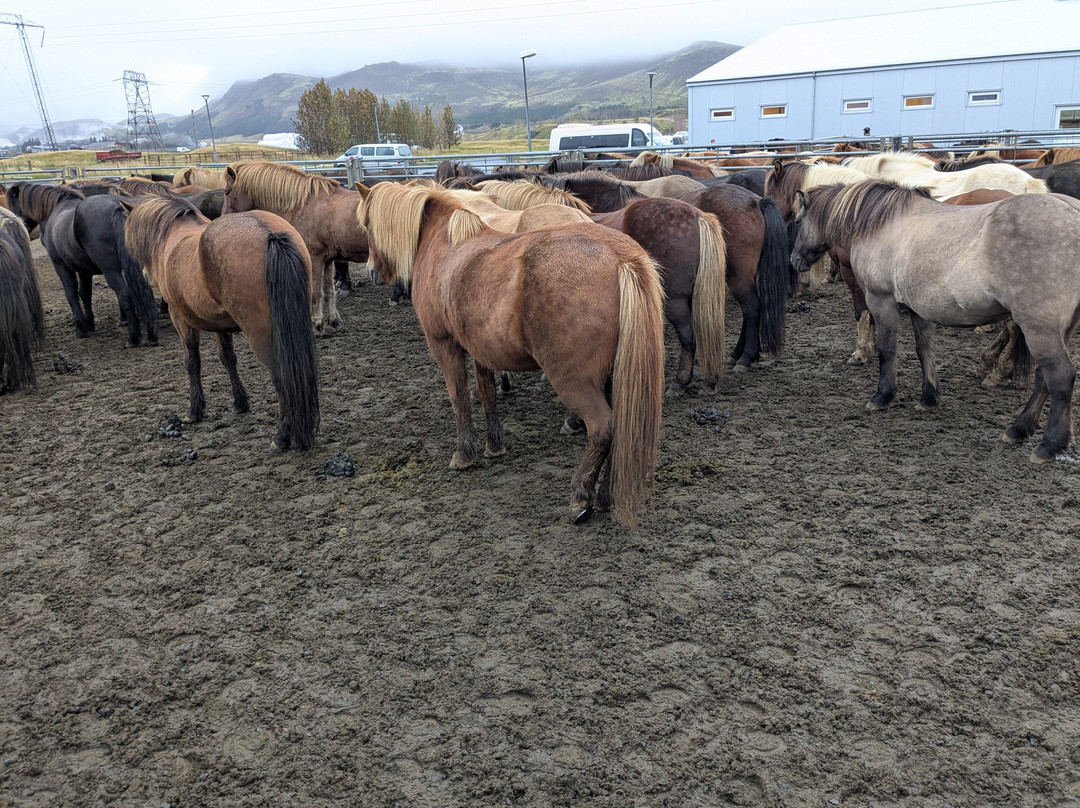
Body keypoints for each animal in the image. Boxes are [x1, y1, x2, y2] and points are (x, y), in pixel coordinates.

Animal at [5, 182, 158, 346]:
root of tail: (119, 206)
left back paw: (133, 337)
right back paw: (151, 334)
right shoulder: (84, 270)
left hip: (110, 270)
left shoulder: (61, 266)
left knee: (125, 295)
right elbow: (85, 294)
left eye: (12, 203)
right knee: (144, 291)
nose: (16, 222)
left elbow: (71, 294)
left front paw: (80, 327)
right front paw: (89, 323)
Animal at [123, 194, 320, 451]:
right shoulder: (220, 325)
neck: (172, 236)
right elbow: (228, 359)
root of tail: (270, 234)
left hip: (262, 336)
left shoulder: (181, 320)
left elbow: (192, 361)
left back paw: (282, 436)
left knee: (281, 377)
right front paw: (240, 402)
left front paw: (195, 410)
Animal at [221, 161, 368, 333]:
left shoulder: (315, 258)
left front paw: (316, 324)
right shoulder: (327, 260)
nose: (222, 219)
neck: (302, 205)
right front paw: (333, 320)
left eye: (226, 192)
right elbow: (328, 290)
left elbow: (316, 292)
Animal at [356, 180, 665, 527]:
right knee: (621, 430)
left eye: (365, 223)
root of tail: (619, 257)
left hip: (574, 381)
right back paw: (605, 497)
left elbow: (459, 397)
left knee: (602, 429)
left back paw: (581, 494)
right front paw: (494, 445)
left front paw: (464, 454)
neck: (444, 244)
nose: (370, 271)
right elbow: (487, 394)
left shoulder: (444, 345)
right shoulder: (480, 350)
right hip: (614, 378)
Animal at [789, 180, 1080, 462]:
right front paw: (929, 397)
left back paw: (1048, 446)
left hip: (1038, 329)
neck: (881, 225)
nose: (794, 261)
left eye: (797, 222)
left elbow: (887, 350)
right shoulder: (919, 309)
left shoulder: (881, 300)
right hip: (1058, 330)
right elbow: (924, 350)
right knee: (1043, 378)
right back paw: (1019, 430)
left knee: (1060, 377)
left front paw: (883, 396)